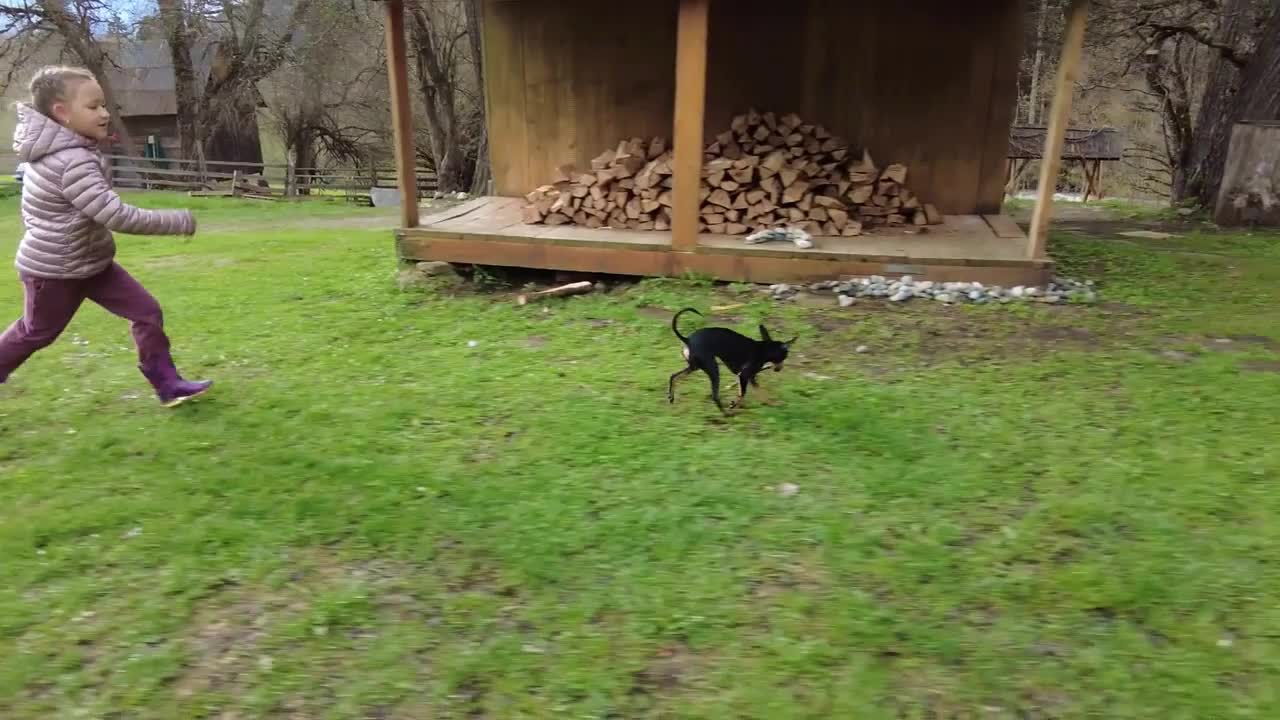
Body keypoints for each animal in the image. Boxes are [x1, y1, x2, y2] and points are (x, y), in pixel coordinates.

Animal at [665, 304, 793, 412]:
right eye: (784, 357)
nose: (780, 368)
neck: (763, 349)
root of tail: (687, 340)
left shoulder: (749, 377)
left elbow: (760, 392)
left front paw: (772, 403)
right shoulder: (744, 375)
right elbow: (743, 394)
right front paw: (733, 405)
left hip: (694, 366)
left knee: (674, 376)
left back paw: (671, 397)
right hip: (712, 369)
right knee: (715, 396)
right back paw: (727, 414)